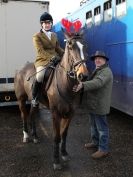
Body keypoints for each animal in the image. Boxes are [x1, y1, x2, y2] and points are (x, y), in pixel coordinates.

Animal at [14, 30, 88, 170]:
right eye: (70, 46)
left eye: (85, 47)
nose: (83, 75)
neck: (66, 84)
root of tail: (21, 69)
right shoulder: (55, 113)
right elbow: (56, 136)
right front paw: (56, 161)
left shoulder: (70, 113)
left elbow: (64, 134)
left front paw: (64, 153)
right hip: (21, 99)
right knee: (24, 115)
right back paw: (26, 135)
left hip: (35, 102)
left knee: (32, 115)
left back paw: (35, 136)